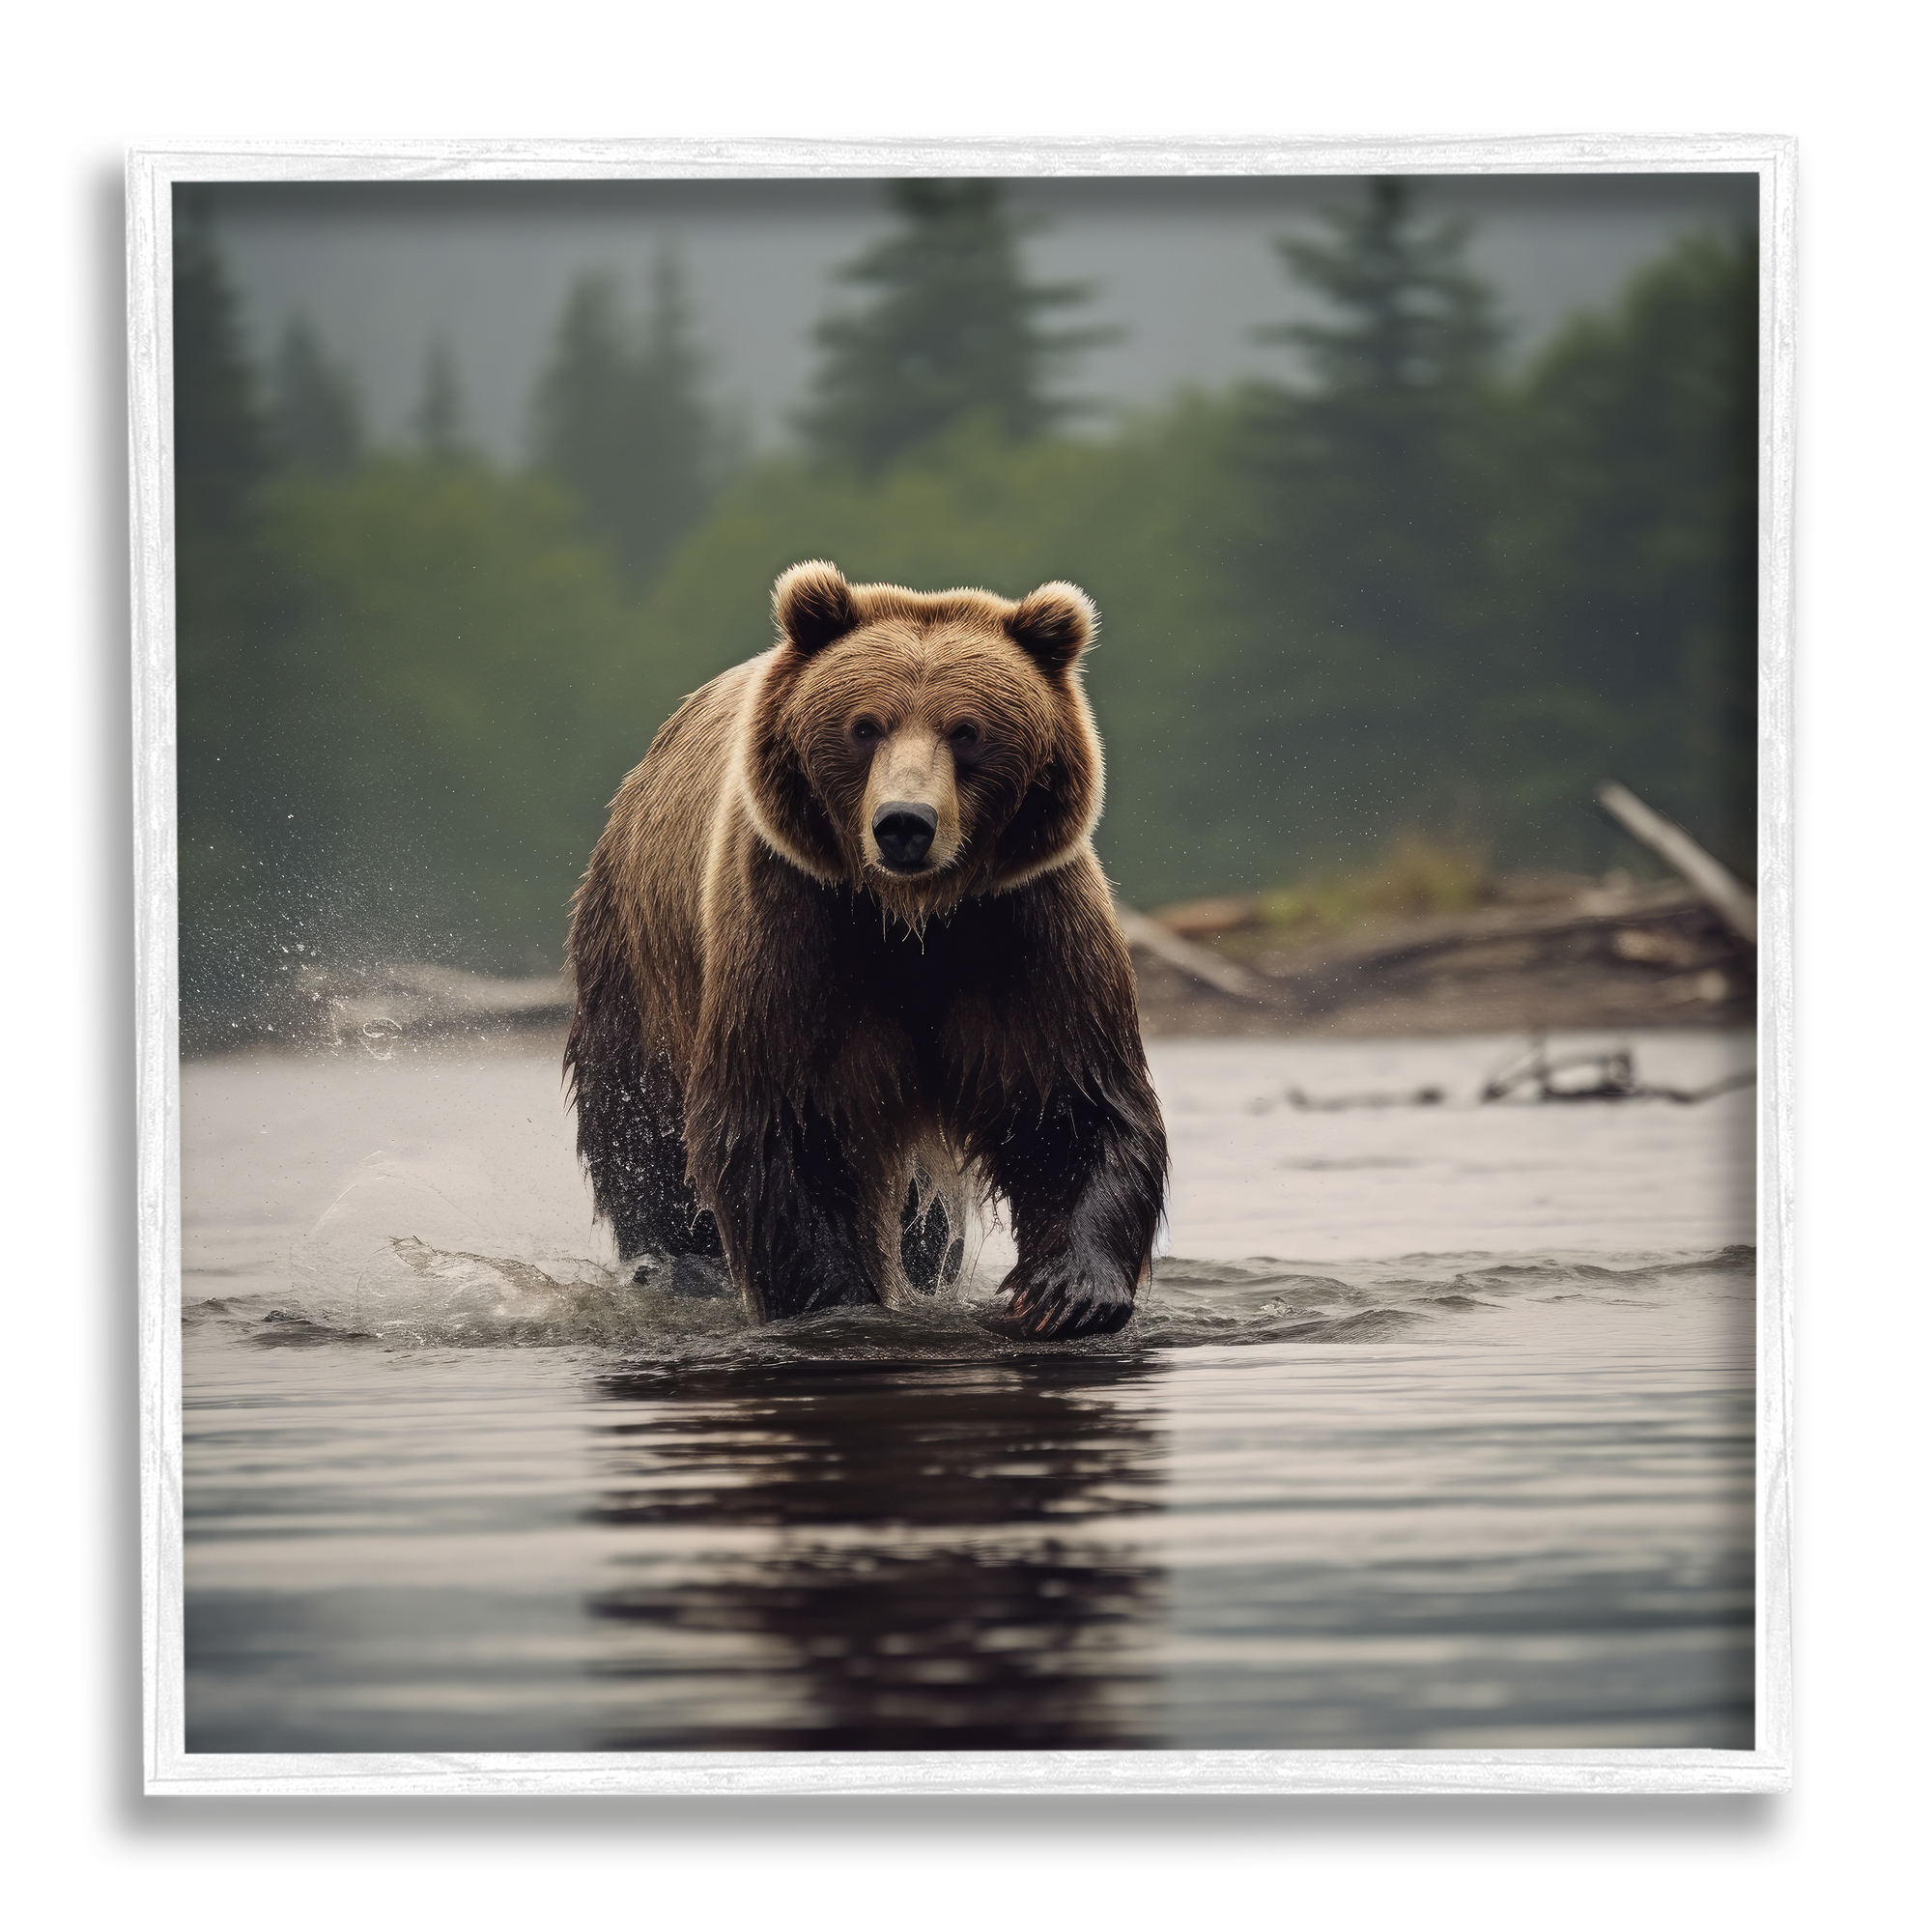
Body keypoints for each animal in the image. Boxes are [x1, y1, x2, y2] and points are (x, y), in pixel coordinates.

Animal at [564, 560, 1168, 1340]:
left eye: (968, 731)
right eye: (863, 726)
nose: (904, 823)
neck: (911, 921)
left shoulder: (1023, 926)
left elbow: (1071, 1104)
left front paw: (1066, 1291)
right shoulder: (799, 928)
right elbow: (785, 1124)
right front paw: (839, 1298)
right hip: (639, 968)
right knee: (641, 1132)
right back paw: (679, 1265)